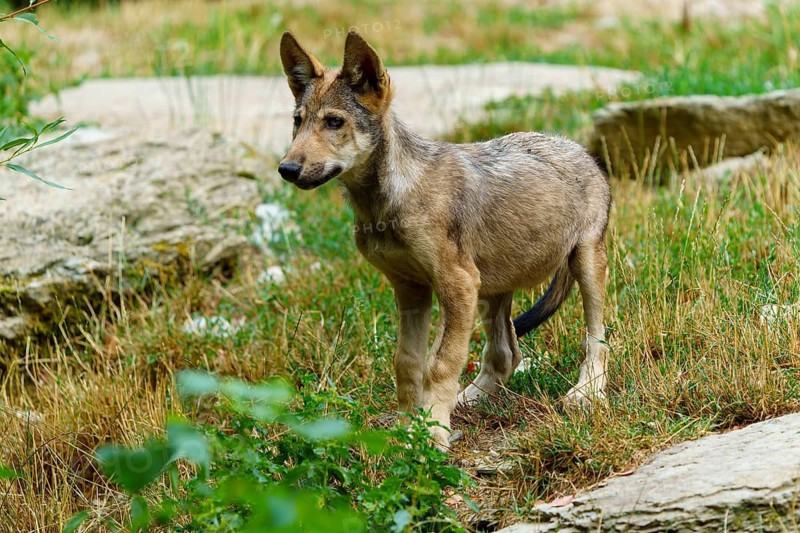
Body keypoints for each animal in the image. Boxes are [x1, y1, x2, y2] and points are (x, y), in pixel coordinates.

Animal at [278, 30, 611, 449]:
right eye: (297, 122)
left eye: (334, 122)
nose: (286, 169)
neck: (385, 203)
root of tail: (577, 147)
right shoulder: (411, 288)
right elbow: (407, 363)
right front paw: (407, 428)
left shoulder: (456, 283)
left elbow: (440, 363)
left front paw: (432, 432)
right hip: (491, 288)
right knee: (506, 353)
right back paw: (470, 398)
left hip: (584, 265)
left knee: (598, 338)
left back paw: (586, 393)